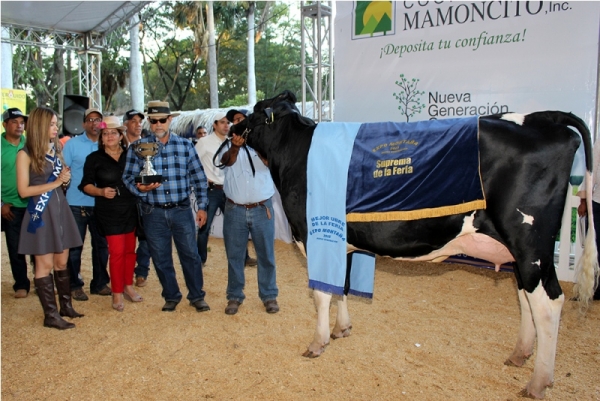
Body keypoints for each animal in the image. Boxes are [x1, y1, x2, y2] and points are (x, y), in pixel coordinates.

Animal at [227, 89, 596, 398]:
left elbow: (321, 293)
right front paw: (342, 328)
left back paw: (538, 382)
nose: (234, 125)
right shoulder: (341, 241)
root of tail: (542, 117)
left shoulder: (315, 235)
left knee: (548, 302)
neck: (297, 152)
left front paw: (317, 343)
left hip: (530, 243)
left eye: (256, 111)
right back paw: (520, 355)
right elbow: (340, 287)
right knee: (525, 298)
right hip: (520, 252)